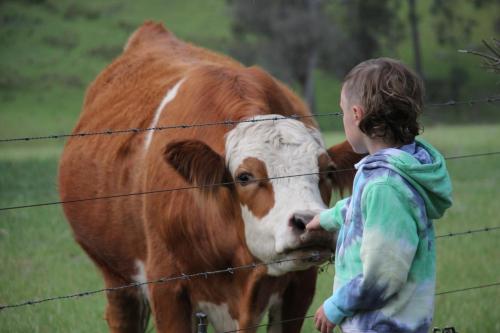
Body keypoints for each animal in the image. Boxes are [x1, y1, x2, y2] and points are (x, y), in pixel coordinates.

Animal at [58, 21, 362, 332]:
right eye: (244, 176)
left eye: (328, 171)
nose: (309, 222)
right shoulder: (167, 289)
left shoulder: (299, 287)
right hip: (117, 279)